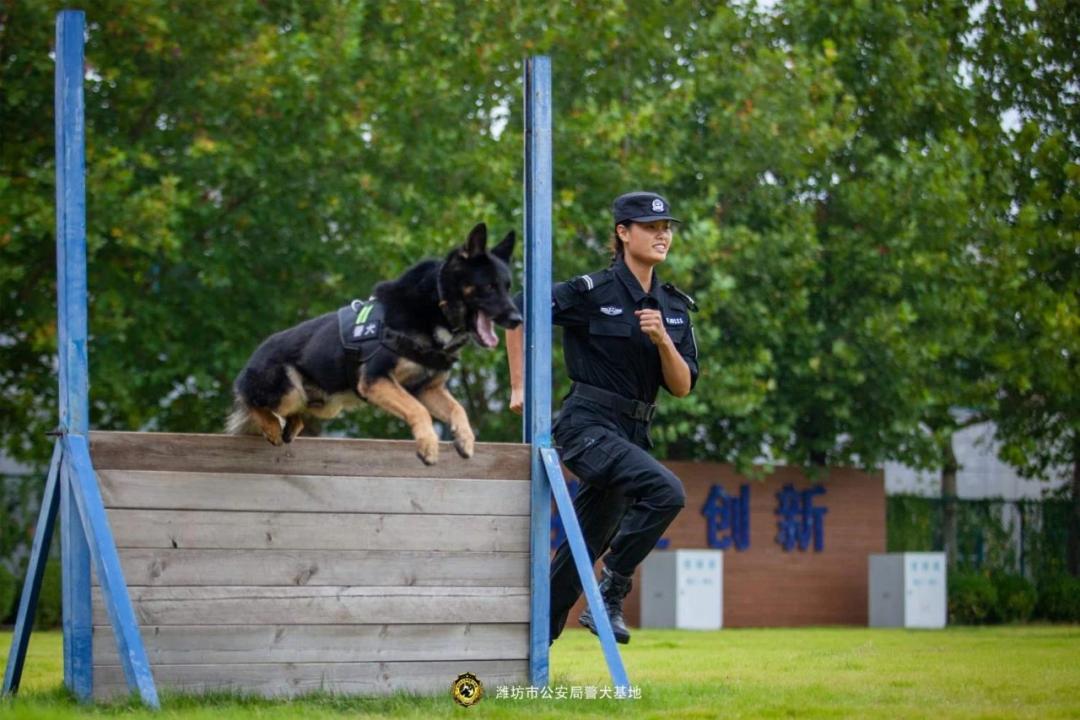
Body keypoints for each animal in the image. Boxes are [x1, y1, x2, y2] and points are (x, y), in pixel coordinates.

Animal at [225, 222, 520, 464]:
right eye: (490, 286)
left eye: (507, 286)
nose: (517, 319)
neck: (435, 304)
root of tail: (252, 359)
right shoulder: (377, 380)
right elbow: (418, 410)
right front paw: (428, 446)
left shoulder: (428, 389)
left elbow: (458, 409)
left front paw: (465, 438)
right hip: (287, 390)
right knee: (250, 399)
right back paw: (271, 425)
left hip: (327, 405)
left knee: (293, 412)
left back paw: (292, 426)